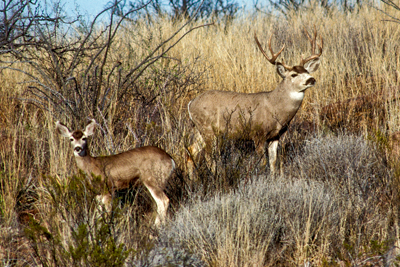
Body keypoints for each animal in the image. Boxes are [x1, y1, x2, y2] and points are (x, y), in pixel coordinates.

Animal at [187, 27, 322, 176]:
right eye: (293, 74)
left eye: (307, 72)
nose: (311, 79)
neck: (275, 108)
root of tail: (191, 103)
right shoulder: (258, 134)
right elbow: (262, 163)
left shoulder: (275, 136)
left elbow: (273, 162)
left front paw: (273, 178)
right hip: (208, 129)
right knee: (208, 156)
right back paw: (216, 176)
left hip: (199, 128)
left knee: (191, 150)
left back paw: (192, 178)